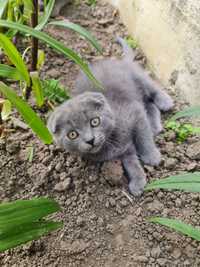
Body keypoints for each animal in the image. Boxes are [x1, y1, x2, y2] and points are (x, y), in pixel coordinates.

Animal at [47, 37, 173, 197]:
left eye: (95, 121)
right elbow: (131, 162)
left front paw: (152, 156)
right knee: (149, 104)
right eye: (72, 134)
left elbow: (143, 136)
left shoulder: (135, 112)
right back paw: (155, 126)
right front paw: (138, 182)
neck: (110, 141)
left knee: (152, 89)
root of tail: (118, 60)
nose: (90, 140)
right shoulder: (125, 149)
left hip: (137, 77)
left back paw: (165, 102)